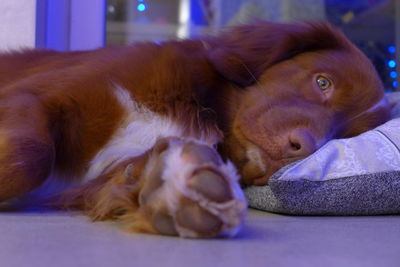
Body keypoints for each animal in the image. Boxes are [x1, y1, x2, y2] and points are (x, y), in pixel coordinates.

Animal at [0, 21, 390, 239]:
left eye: (344, 135)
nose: (303, 147)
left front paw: (181, 188)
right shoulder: (37, 95)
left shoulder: (112, 172)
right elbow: (31, 157)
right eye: (323, 81)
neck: (197, 106)